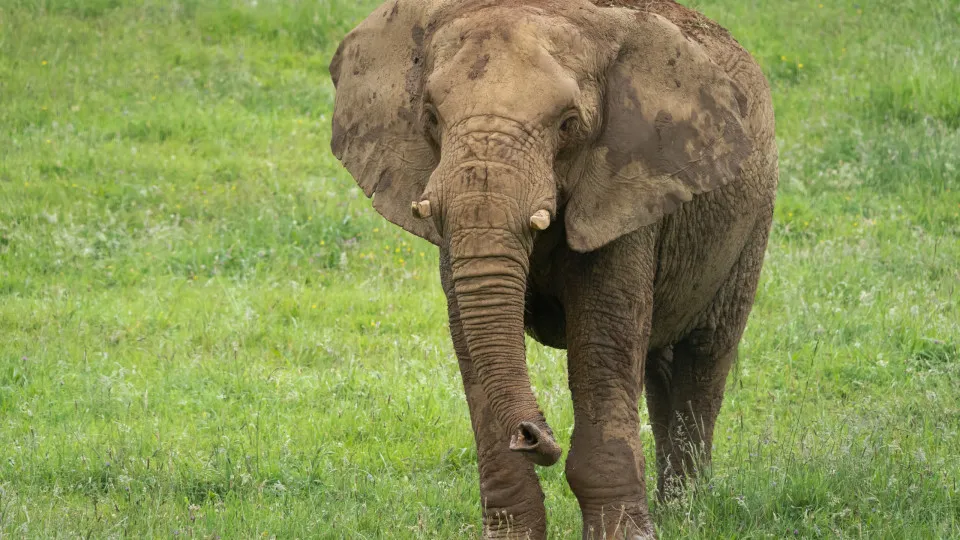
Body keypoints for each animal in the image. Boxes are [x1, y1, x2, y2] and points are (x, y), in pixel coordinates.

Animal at [329, 0, 777, 537]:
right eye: (431, 117)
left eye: (567, 124)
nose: (531, 432)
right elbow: (469, 341)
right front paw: (514, 534)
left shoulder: (625, 189)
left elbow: (602, 340)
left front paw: (626, 535)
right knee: (659, 363)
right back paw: (674, 512)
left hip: (752, 222)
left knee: (704, 357)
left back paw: (687, 515)